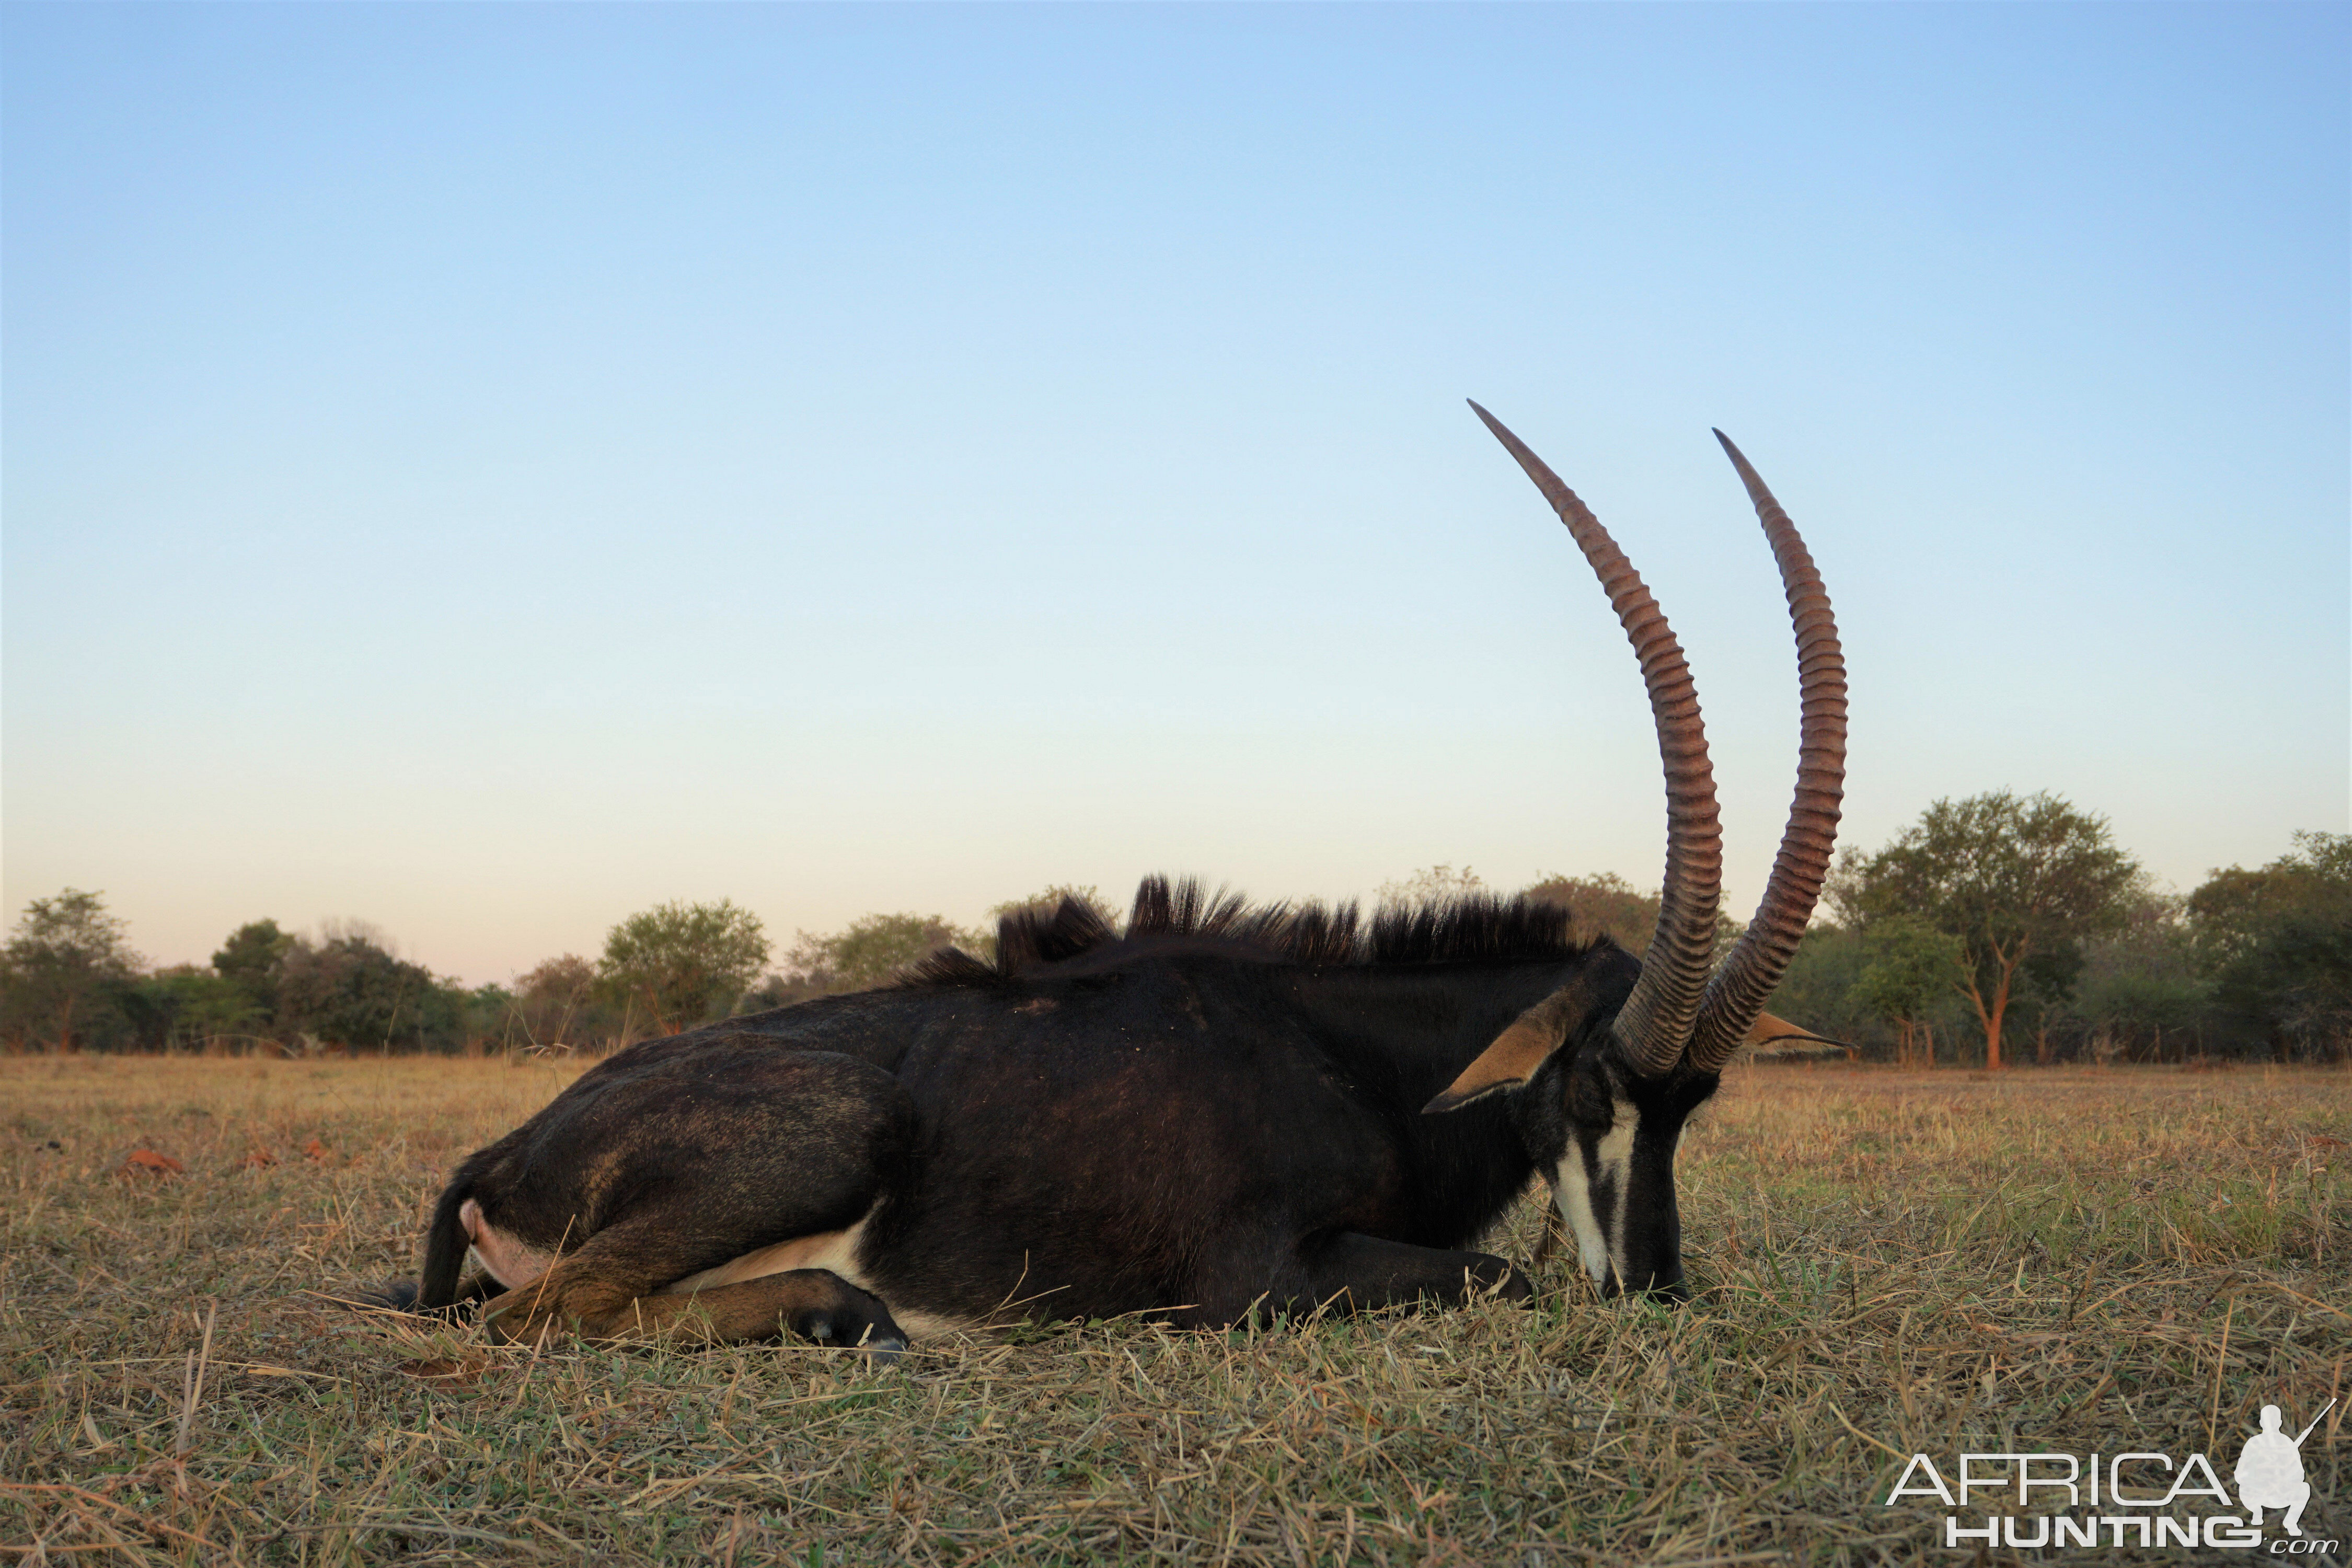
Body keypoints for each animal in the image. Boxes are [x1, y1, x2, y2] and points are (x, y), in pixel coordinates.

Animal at [372, 409, 1835, 1363]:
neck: (1354, 1057)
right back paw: (854, 1313)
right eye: (1588, 1090)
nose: (1652, 1291)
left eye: (1694, 1104)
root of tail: (502, 1150)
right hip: (837, 1130)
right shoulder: (1255, 1280)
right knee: (536, 1319)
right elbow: (1495, 1277)